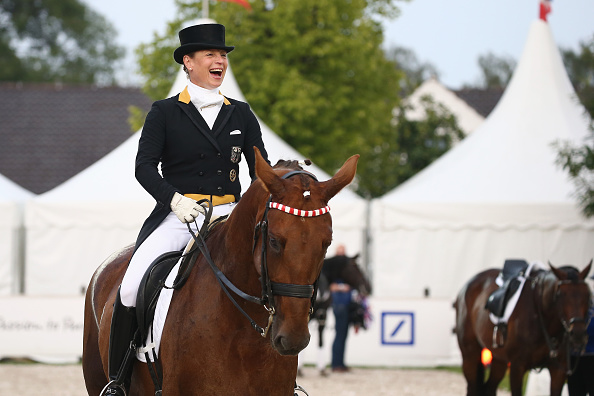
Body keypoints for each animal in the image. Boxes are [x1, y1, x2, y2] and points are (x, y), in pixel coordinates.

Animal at [454, 260, 588, 396]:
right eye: (560, 295)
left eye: (587, 294)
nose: (578, 334)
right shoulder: (517, 367)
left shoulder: (558, 371)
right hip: (470, 354)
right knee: (472, 387)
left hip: (498, 359)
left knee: (490, 387)